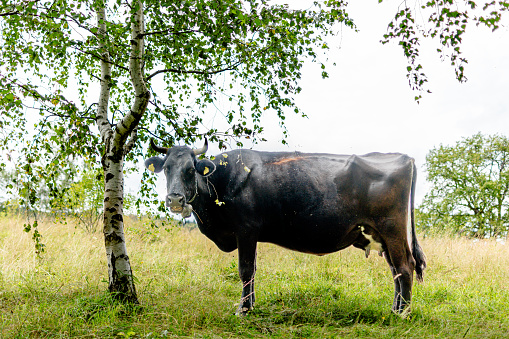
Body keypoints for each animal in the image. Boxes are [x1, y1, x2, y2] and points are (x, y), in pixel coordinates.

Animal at [145, 138, 426, 316]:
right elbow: (253, 271)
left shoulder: (246, 230)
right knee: (396, 271)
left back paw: (402, 314)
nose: (174, 200)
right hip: (381, 235)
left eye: (190, 169)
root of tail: (404, 158)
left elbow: (246, 270)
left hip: (392, 229)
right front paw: (251, 305)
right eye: (166, 168)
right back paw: (394, 309)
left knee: (405, 267)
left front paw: (243, 310)